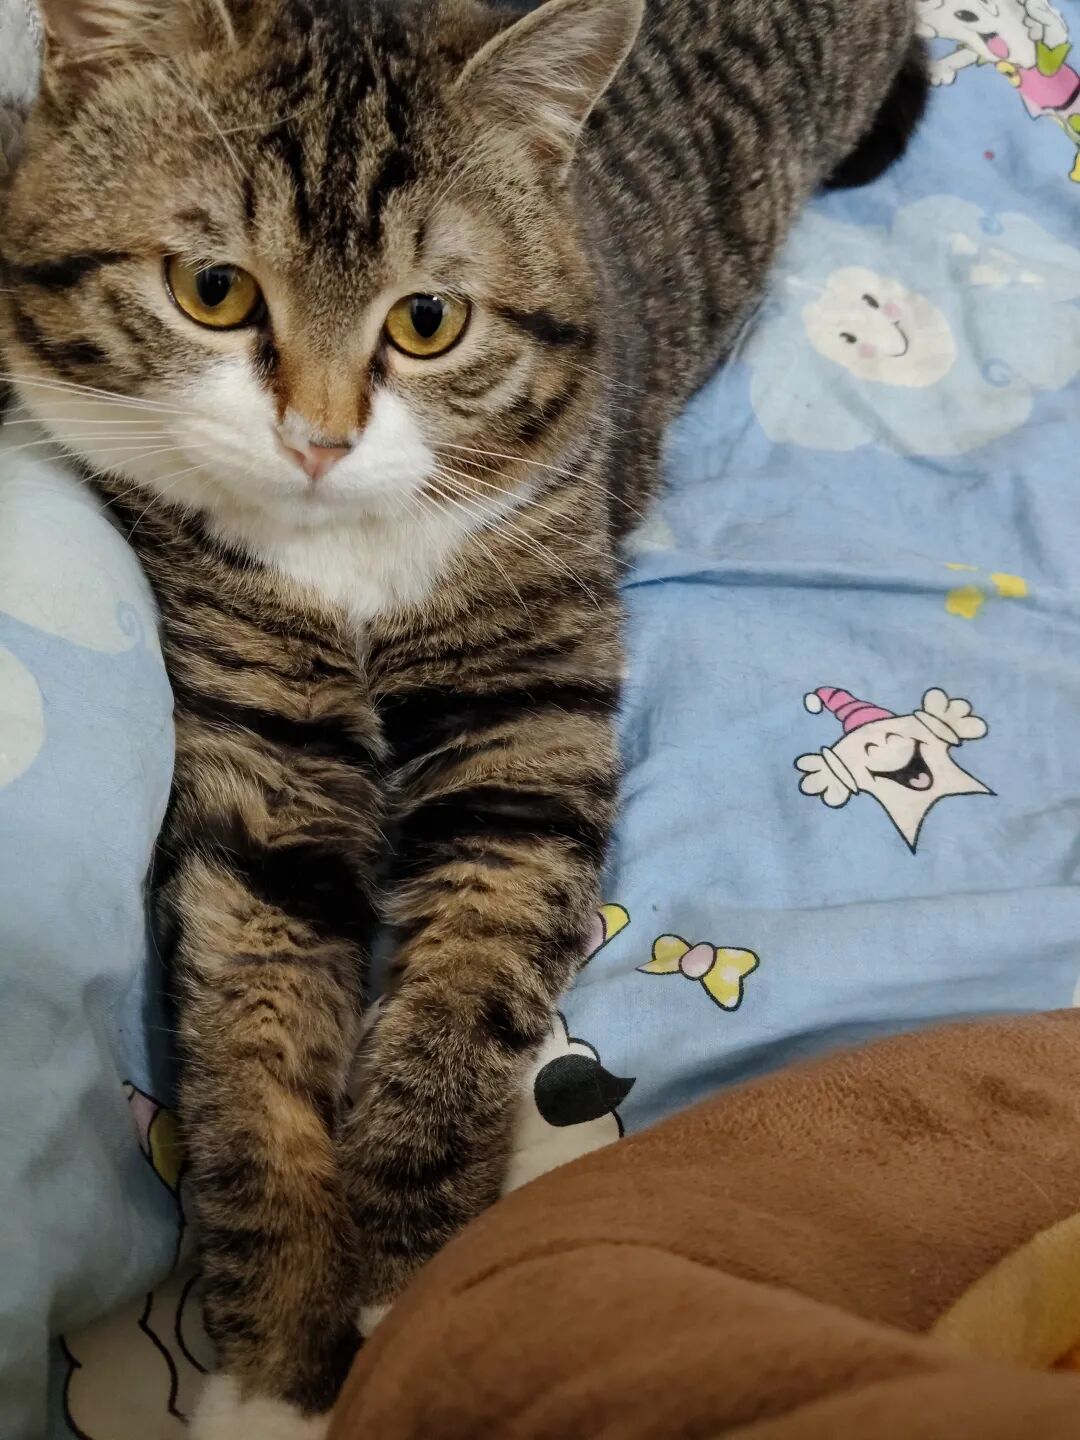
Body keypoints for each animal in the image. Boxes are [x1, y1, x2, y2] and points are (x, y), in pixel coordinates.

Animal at [0, 0, 925, 1432]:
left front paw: (404, 1278)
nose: (318, 440)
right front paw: (278, 1361)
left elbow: (470, 967)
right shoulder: (261, 738)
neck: (344, 550)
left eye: (427, 320)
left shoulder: (529, 715)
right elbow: (249, 1033)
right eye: (213, 291)